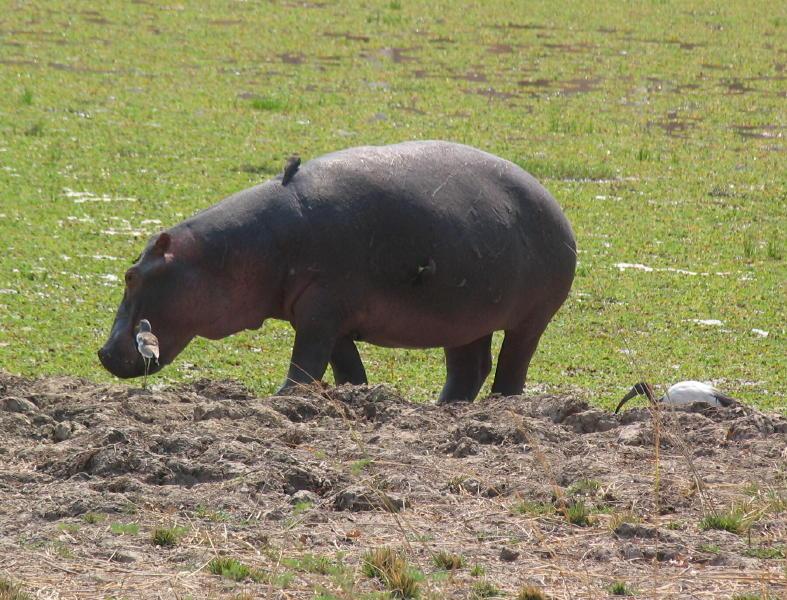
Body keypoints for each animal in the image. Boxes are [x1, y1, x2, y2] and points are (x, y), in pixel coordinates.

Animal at [100, 141, 580, 404]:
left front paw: (283, 397)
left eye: (130, 275)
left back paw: (499, 404)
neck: (226, 253)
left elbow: (306, 362)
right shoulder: (326, 316)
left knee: (511, 368)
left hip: (531, 318)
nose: (103, 353)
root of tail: (552, 202)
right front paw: (357, 396)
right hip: (464, 317)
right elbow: (346, 367)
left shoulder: (320, 311)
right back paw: (440, 407)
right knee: (468, 369)